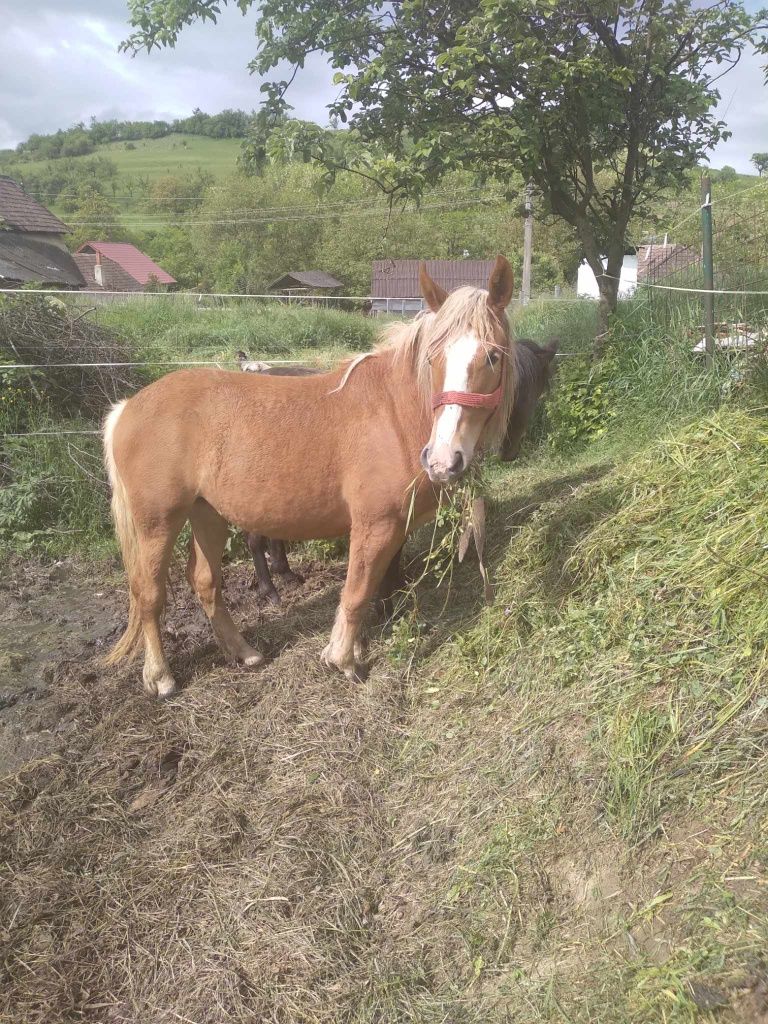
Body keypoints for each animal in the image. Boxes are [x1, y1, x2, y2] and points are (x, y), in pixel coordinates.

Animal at [102, 260, 518, 700]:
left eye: (493, 356)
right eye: (433, 357)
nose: (442, 459)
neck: (395, 413)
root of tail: (128, 407)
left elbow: (378, 584)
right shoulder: (375, 525)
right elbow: (357, 592)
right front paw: (343, 659)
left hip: (208, 513)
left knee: (205, 581)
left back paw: (244, 652)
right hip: (158, 522)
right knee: (148, 593)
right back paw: (160, 676)